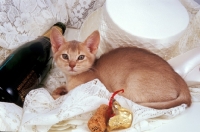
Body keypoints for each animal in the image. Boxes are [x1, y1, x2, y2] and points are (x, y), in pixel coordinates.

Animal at [49, 27, 191, 109]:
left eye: (81, 57)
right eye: (65, 56)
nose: (72, 65)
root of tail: (178, 77)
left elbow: (59, 96)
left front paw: (58, 93)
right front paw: (59, 89)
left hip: (134, 82)